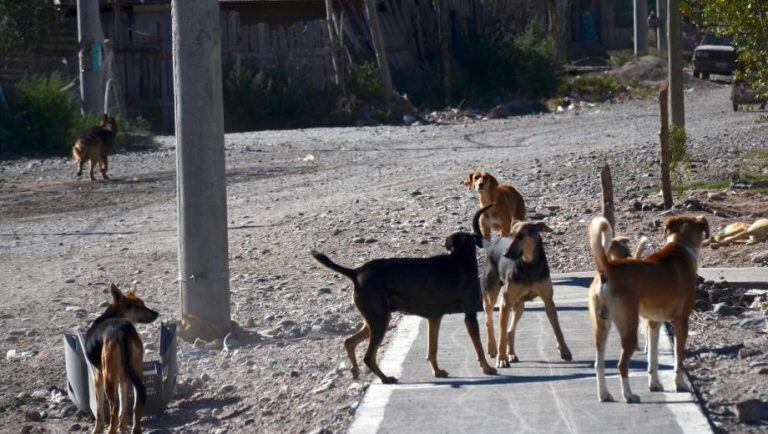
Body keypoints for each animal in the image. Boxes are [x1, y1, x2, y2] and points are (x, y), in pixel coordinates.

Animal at [85, 284, 158, 434]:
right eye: (138, 306)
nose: (156, 313)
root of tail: (122, 329)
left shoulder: (98, 376)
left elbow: (100, 410)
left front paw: (97, 429)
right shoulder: (124, 377)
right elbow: (124, 406)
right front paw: (123, 427)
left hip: (108, 378)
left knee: (113, 410)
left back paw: (111, 430)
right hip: (137, 372)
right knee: (137, 405)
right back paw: (135, 429)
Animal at [312, 204, 498, 384]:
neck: (459, 259)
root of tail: (357, 272)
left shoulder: (435, 317)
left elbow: (433, 348)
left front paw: (437, 371)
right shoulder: (470, 315)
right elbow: (479, 347)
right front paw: (487, 367)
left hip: (375, 319)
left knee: (349, 342)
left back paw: (356, 371)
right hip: (379, 321)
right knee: (368, 357)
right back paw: (386, 378)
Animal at [592, 215, 712, 402]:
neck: (679, 247)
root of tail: (608, 269)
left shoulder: (654, 323)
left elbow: (653, 359)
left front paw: (655, 384)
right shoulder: (681, 322)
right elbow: (679, 358)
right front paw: (680, 384)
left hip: (601, 327)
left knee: (599, 364)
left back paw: (604, 395)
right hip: (629, 328)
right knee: (621, 365)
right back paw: (628, 395)